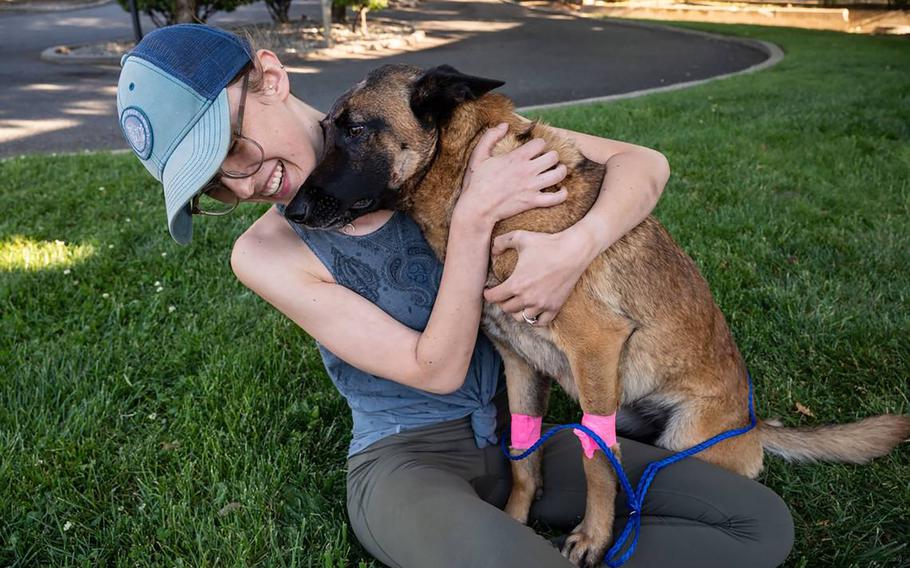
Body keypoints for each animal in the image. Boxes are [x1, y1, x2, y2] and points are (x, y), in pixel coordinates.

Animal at [288, 64, 910, 564]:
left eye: (356, 129)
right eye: (325, 129)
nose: (290, 211)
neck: (477, 186)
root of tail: (755, 424)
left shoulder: (594, 348)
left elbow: (596, 461)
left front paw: (593, 537)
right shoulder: (520, 361)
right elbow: (523, 453)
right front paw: (517, 518)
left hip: (678, 435)